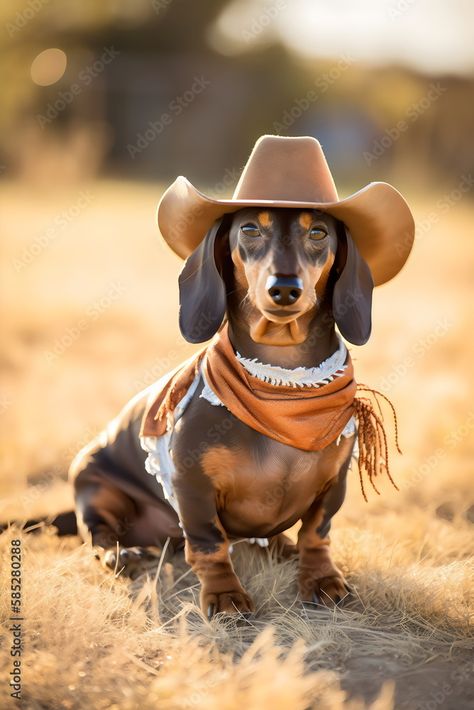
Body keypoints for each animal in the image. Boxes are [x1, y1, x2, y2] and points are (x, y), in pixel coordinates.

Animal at [68, 206, 372, 616]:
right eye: (250, 228)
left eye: (319, 233)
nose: (284, 288)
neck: (283, 394)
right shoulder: (191, 484)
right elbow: (210, 544)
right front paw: (226, 596)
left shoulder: (334, 481)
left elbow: (315, 533)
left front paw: (322, 579)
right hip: (92, 482)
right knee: (98, 534)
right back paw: (124, 554)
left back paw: (283, 548)